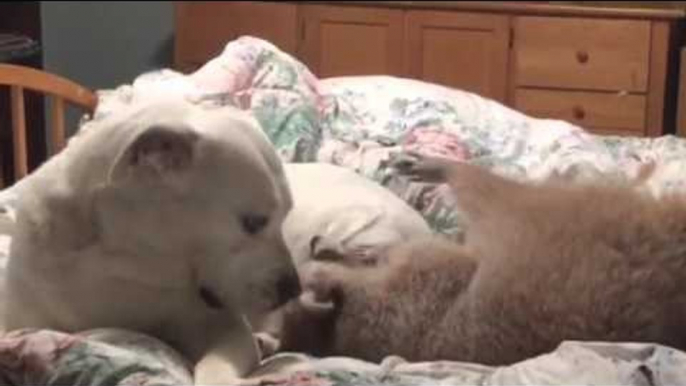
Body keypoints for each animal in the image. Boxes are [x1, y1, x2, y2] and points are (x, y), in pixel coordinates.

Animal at [1, 99, 300, 382]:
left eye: (286, 215)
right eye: (253, 222)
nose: (293, 289)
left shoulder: (226, 330)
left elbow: (214, 368)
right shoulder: (21, 323)